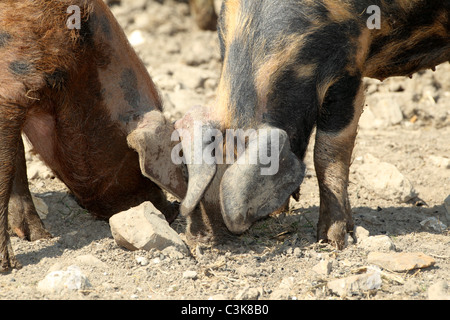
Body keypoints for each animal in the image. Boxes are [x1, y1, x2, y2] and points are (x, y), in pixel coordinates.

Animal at [0, 0, 186, 272]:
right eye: (139, 164)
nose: (172, 210)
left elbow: (17, 162)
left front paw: (40, 236)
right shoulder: (10, 87)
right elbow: (6, 168)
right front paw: (10, 265)